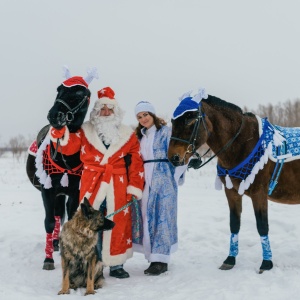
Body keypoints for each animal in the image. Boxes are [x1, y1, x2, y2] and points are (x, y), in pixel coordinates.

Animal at [26, 69, 97, 270]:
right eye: (59, 89)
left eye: (80, 94)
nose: (54, 115)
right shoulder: (48, 189)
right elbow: (49, 222)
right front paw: (48, 259)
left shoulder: (74, 191)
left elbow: (70, 217)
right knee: (56, 215)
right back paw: (55, 244)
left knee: (61, 214)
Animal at [168, 91, 300, 274]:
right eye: (173, 121)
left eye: (189, 119)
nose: (173, 157)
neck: (243, 142)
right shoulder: (232, 192)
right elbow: (234, 224)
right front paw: (230, 259)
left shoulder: (259, 193)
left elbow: (262, 225)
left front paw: (266, 263)